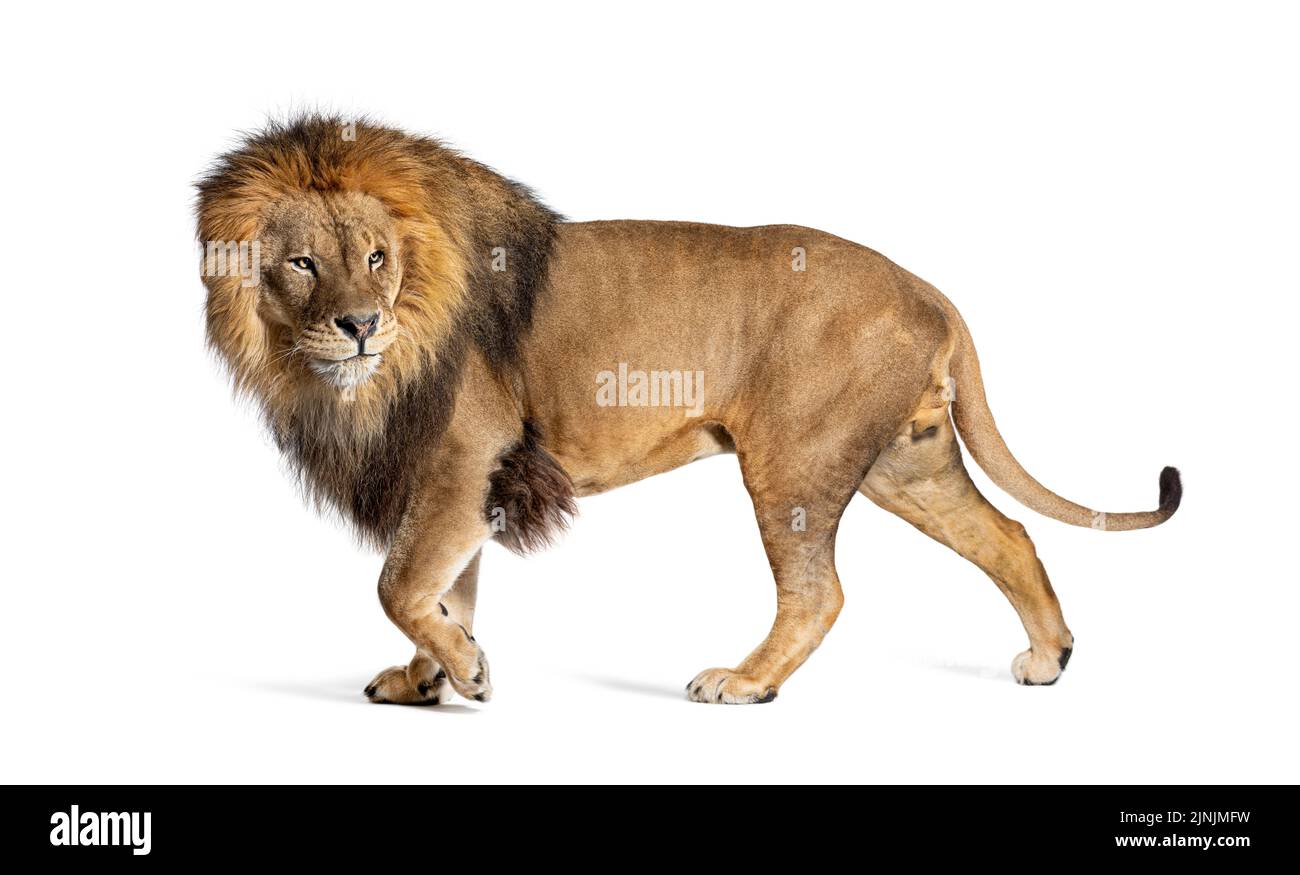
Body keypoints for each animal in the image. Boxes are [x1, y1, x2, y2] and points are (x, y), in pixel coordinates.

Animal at [196, 115, 1181, 705]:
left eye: (374, 256)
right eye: (301, 263)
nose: (360, 324)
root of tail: (928, 287)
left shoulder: (467, 452)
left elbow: (401, 582)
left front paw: (466, 672)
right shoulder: (474, 476)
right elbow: (450, 587)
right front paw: (428, 677)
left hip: (793, 463)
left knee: (821, 591)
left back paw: (744, 682)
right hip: (909, 462)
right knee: (1007, 537)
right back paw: (1049, 658)